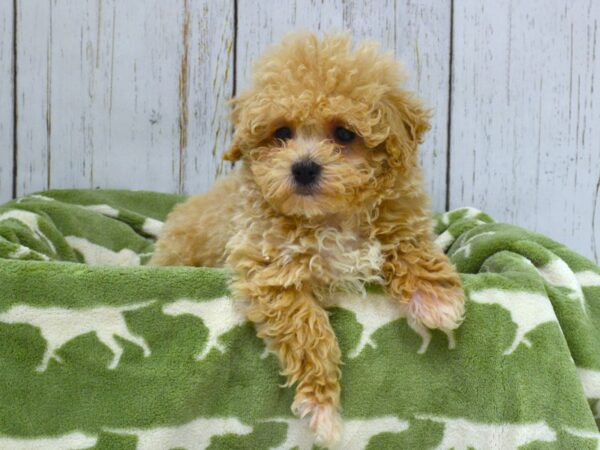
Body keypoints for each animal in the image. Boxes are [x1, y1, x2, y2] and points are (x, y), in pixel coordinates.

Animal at [151, 32, 464, 446]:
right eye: (281, 132)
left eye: (344, 133)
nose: (303, 168)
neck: (330, 218)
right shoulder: (271, 272)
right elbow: (306, 329)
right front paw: (322, 406)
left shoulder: (400, 221)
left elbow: (412, 248)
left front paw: (436, 301)